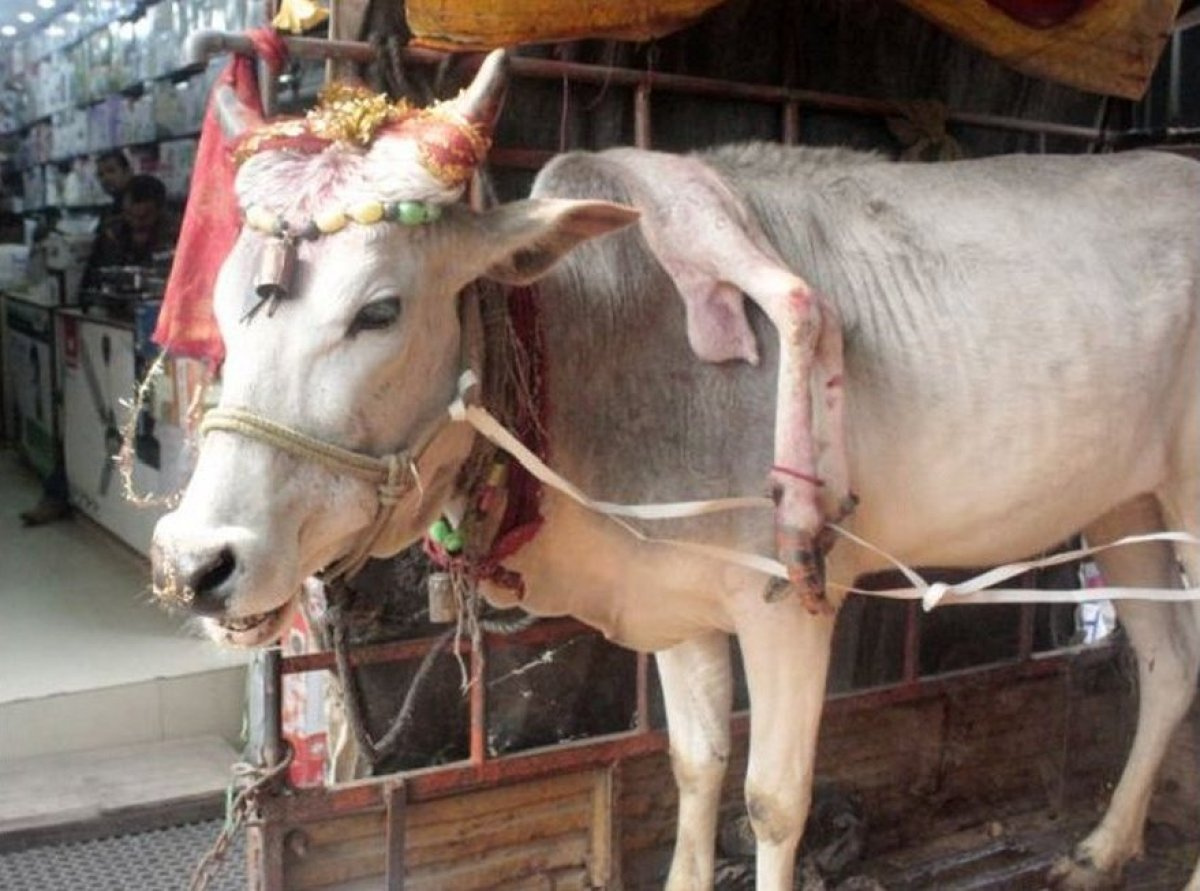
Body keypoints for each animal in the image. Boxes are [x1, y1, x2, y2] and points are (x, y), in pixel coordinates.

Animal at [152, 52, 1200, 888]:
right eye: (220, 300)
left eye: (380, 309)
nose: (192, 562)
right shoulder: (677, 600)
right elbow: (695, 766)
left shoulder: (791, 598)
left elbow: (773, 799)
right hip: (1125, 504)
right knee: (1165, 667)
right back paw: (1104, 846)